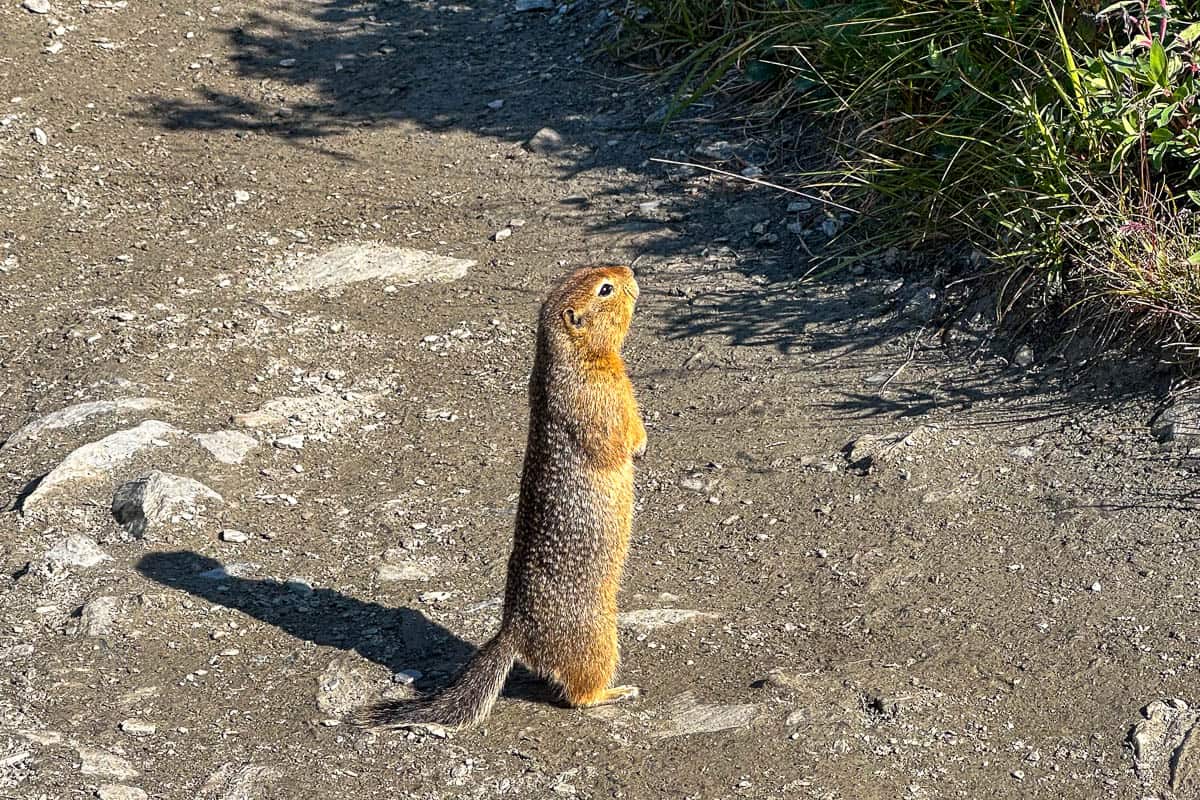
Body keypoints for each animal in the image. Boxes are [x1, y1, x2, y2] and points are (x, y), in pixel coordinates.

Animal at [361, 265, 647, 730]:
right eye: (604, 288)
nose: (628, 270)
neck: (576, 356)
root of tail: (513, 631)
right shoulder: (596, 399)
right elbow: (616, 438)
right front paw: (639, 446)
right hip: (598, 637)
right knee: (578, 694)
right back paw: (615, 692)